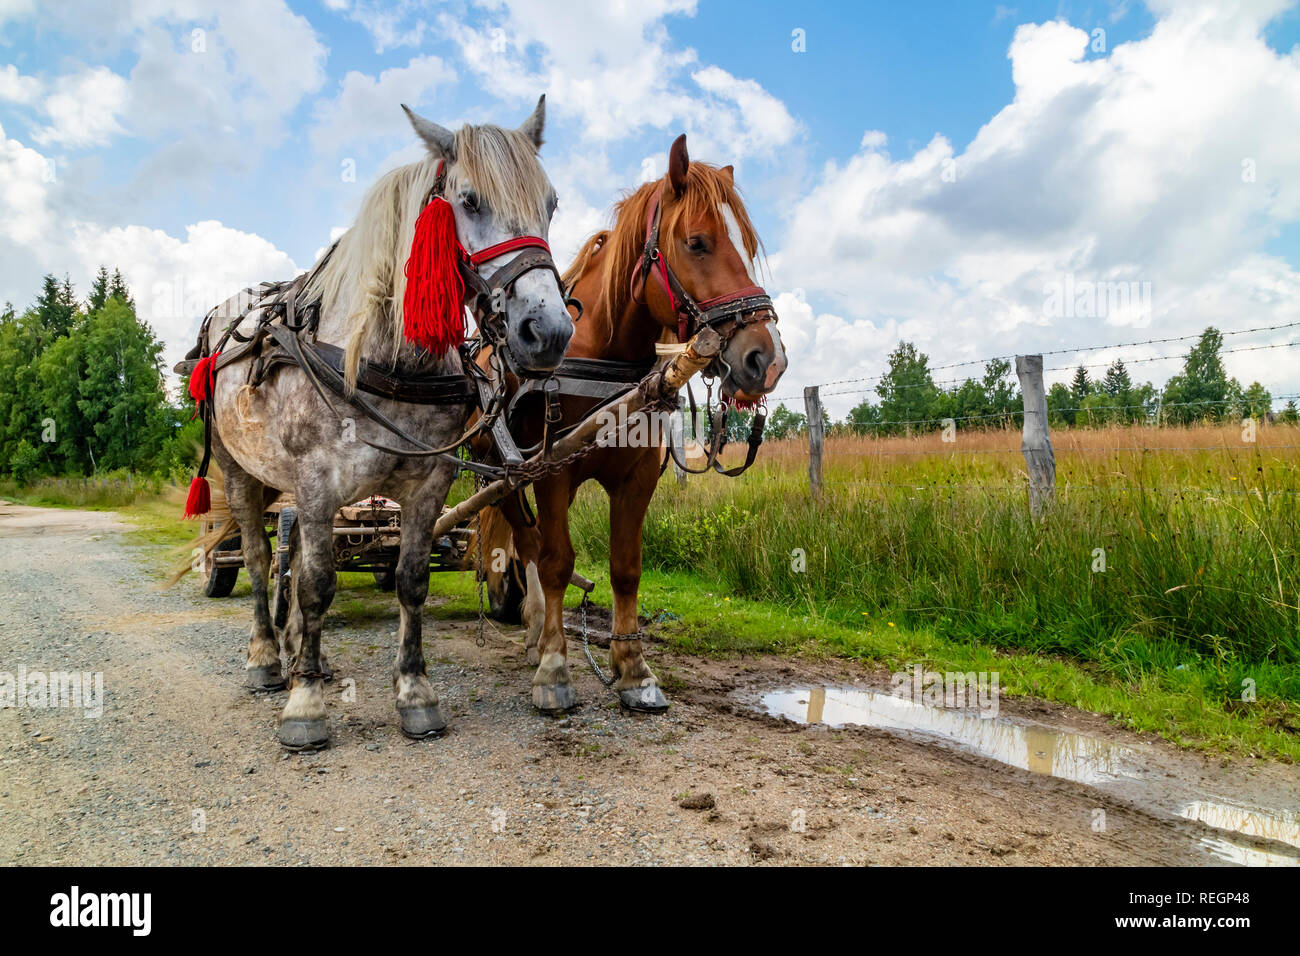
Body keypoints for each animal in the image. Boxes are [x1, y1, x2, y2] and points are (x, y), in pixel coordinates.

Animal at [198, 99, 573, 750]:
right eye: (470, 200)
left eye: (549, 203)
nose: (547, 330)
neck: (390, 363)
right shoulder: (318, 484)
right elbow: (316, 584)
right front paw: (304, 704)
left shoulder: (425, 488)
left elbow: (410, 580)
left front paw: (415, 693)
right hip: (240, 471)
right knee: (260, 559)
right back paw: (269, 659)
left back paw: (303, 652)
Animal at [477, 134, 788, 714]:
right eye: (697, 242)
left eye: (749, 246)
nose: (768, 359)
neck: (606, 355)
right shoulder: (553, 472)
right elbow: (555, 561)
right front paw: (555, 668)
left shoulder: (637, 478)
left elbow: (626, 568)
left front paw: (633, 669)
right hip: (502, 475)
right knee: (528, 546)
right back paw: (537, 633)